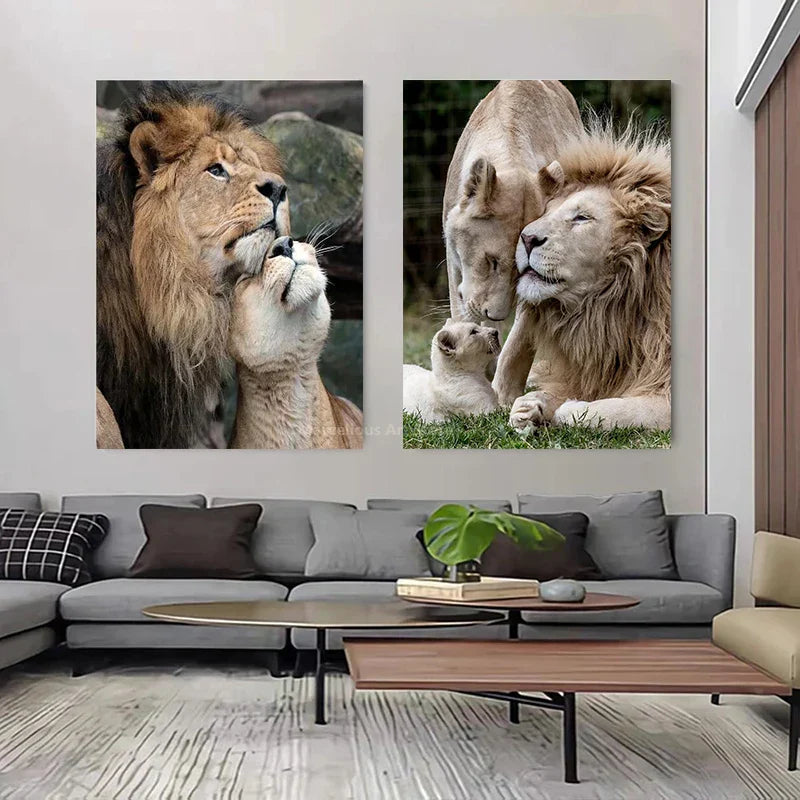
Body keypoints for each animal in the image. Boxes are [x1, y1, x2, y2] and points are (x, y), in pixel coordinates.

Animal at [492, 121, 671, 431]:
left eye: (582, 218)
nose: (526, 238)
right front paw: (530, 406)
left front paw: (572, 409)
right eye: (546, 211)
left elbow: (620, 410)